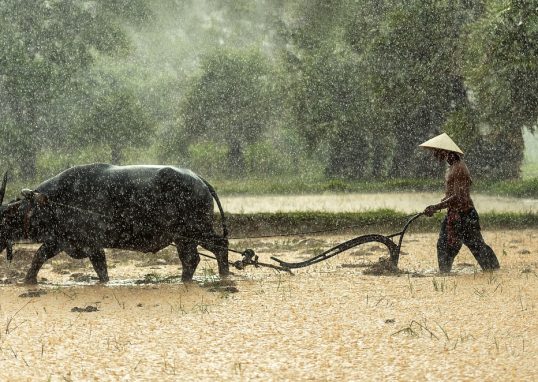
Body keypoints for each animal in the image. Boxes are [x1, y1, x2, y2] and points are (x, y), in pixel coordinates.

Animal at [0, 163, 228, 284]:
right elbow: (38, 258)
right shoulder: (59, 241)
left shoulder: (91, 245)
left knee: (216, 247)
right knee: (195, 257)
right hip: (184, 238)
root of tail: (199, 179)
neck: (51, 201)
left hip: (195, 230)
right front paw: (28, 281)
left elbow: (101, 270)